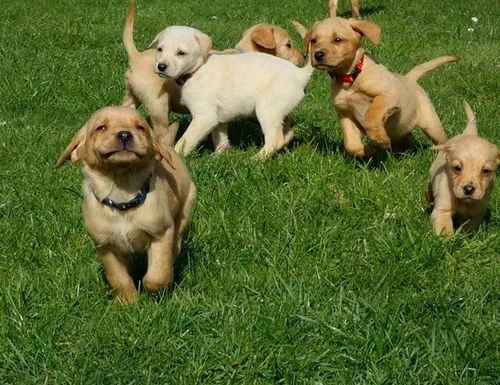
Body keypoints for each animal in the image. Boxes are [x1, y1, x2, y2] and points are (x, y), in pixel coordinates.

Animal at [55, 106, 195, 304]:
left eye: (141, 127)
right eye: (101, 128)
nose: (124, 134)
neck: (122, 195)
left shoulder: (160, 233)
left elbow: (157, 273)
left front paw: (153, 291)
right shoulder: (106, 247)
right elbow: (118, 278)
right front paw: (129, 301)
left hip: (186, 206)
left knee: (177, 239)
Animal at [300, 16, 458, 158]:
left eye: (337, 39)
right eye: (313, 40)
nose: (318, 54)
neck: (350, 79)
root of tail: (409, 78)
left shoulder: (387, 95)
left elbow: (372, 114)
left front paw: (379, 139)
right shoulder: (344, 112)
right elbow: (351, 145)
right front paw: (370, 149)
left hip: (432, 125)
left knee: (442, 141)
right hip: (403, 129)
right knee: (406, 138)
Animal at [428, 100, 498, 236]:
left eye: (486, 171)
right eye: (457, 168)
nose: (469, 189)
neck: (464, 202)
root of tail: (469, 132)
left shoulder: (477, 213)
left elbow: (469, 226)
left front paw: (465, 236)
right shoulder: (442, 210)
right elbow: (444, 228)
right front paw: (446, 240)